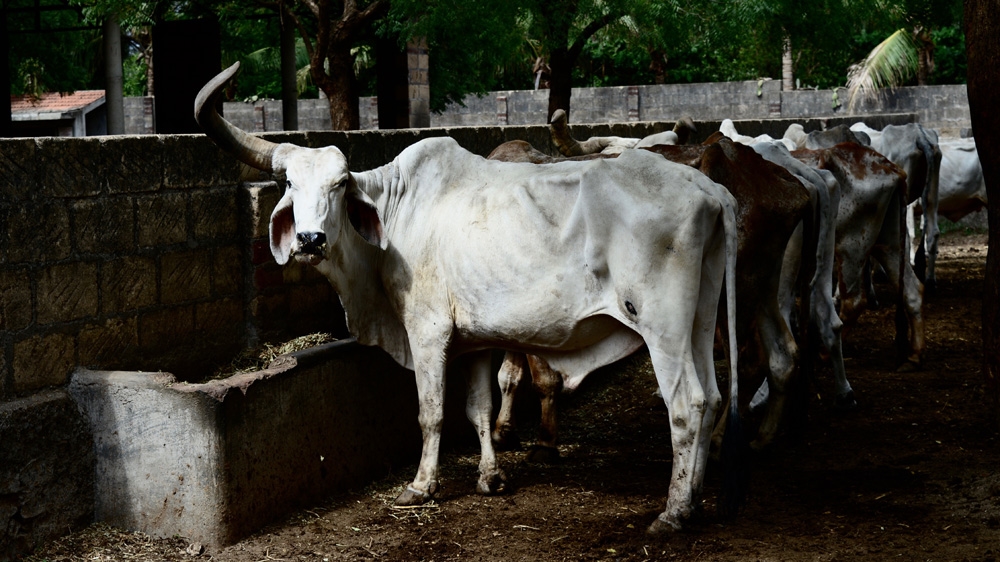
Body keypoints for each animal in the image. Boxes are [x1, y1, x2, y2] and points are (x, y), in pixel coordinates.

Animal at [195, 62, 743, 533]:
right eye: (290, 182)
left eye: (339, 184)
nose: (310, 240)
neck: (396, 209)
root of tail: (709, 190)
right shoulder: (476, 341)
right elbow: (479, 407)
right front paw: (490, 477)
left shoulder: (428, 330)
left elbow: (432, 411)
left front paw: (421, 486)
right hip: (698, 319)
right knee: (714, 396)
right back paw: (695, 500)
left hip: (662, 326)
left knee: (687, 403)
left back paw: (672, 513)